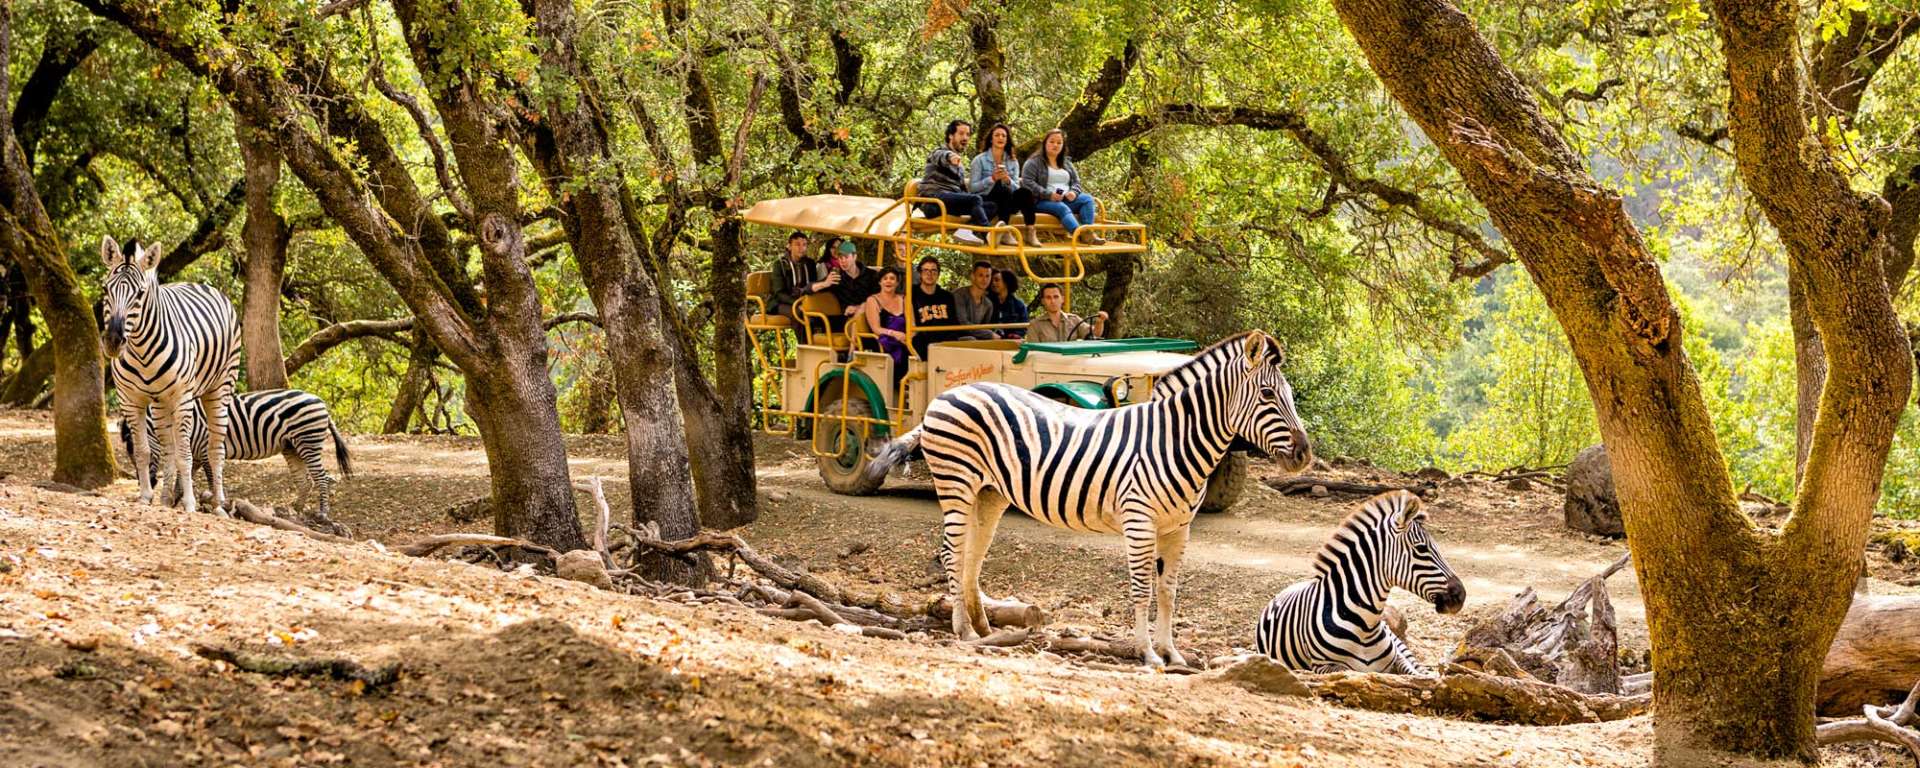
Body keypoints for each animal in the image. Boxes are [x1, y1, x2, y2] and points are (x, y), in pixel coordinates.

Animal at [99, 235, 241, 517]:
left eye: (140, 294)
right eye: (105, 290)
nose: (113, 341)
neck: (141, 350)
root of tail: (203, 285)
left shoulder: (182, 398)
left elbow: (185, 455)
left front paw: (189, 504)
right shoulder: (130, 399)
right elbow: (144, 452)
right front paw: (146, 497)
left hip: (220, 388)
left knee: (216, 448)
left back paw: (218, 505)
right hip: (160, 403)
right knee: (167, 448)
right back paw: (165, 498)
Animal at [119, 389, 353, 524]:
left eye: (134, 453)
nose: (148, 482)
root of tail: (321, 403)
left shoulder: (204, 450)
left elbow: (211, 478)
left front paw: (214, 505)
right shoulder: (196, 455)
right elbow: (182, 479)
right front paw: (178, 502)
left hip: (308, 441)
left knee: (321, 478)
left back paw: (322, 514)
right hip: (291, 447)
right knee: (304, 481)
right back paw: (295, 511)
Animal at [861, 331, 1313, 666]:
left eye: (1291, 396)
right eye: (1268, 396)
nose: (1304, 455)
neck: (1172, 439)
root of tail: (945, 396)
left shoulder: (1178, 527)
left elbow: (1169, 591)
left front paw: (1172, 652)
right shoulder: (1139, 520)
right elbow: (1142, 589)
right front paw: (1147, 653)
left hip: (989, 493)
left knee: (973, 554)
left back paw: (986, 628)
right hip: (956, 482)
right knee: (952, 553)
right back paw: (965, 631)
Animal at [1253, 490, 1465, 675]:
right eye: (1421, 549)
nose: (1461, 595)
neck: (1364, 626)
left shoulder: (1396, 659)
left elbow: (1415, 674)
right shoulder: (1323, 666)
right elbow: (1349, 671)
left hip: (1398, 642)